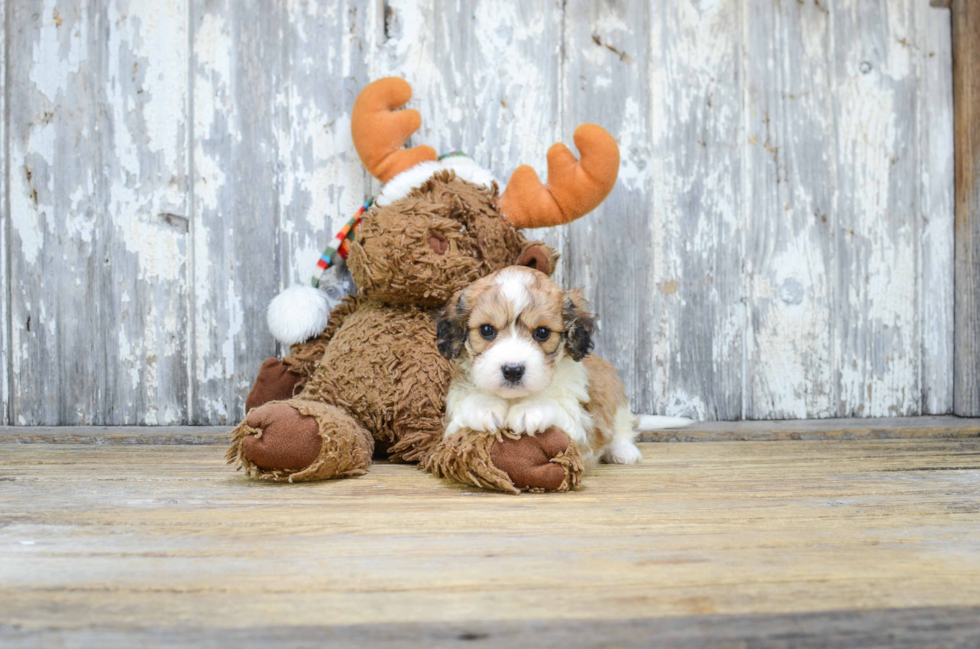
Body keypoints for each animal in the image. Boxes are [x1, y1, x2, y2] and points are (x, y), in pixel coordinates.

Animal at [436, 264, 688, 466]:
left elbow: (558, 408)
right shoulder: (451, 424)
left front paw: (531, 409)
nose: (513, 370)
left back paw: (623, 451)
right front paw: (484, 406)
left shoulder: (581, 423)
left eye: (542, 332)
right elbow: (466, 406)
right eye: (487, 330)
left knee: (621, 429)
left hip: (614, 393)